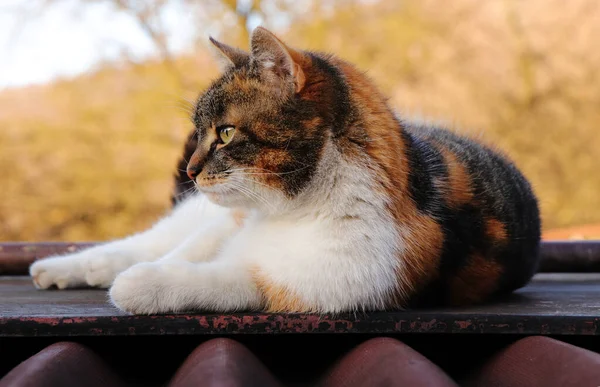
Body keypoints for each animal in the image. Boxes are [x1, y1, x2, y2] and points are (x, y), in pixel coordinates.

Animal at [29, 28, 544, 318]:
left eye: (226, 133)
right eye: (201, 132)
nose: (193, 170)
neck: (290, 210)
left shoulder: (315, 284)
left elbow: (223, 280)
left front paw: (141, 284)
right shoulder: (230, 221)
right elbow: (184, 252)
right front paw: (131, 271)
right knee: (151, 240)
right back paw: (63, 267)